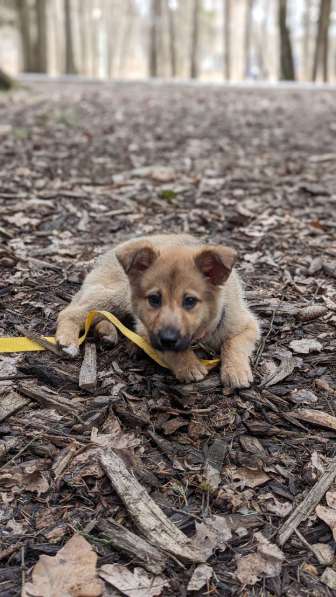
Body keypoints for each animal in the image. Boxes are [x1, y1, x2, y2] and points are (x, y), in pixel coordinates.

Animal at [56, 233, 260, 386]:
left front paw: (235, 371)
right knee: (71, 312)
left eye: (190, 301)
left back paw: (106, 333)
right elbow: (172, 351)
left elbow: (233, 344)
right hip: (117, 295)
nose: (168, 338)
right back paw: (67, 341)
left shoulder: (248, 325)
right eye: (154, 299)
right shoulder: (147, 330)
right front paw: (189, 365)